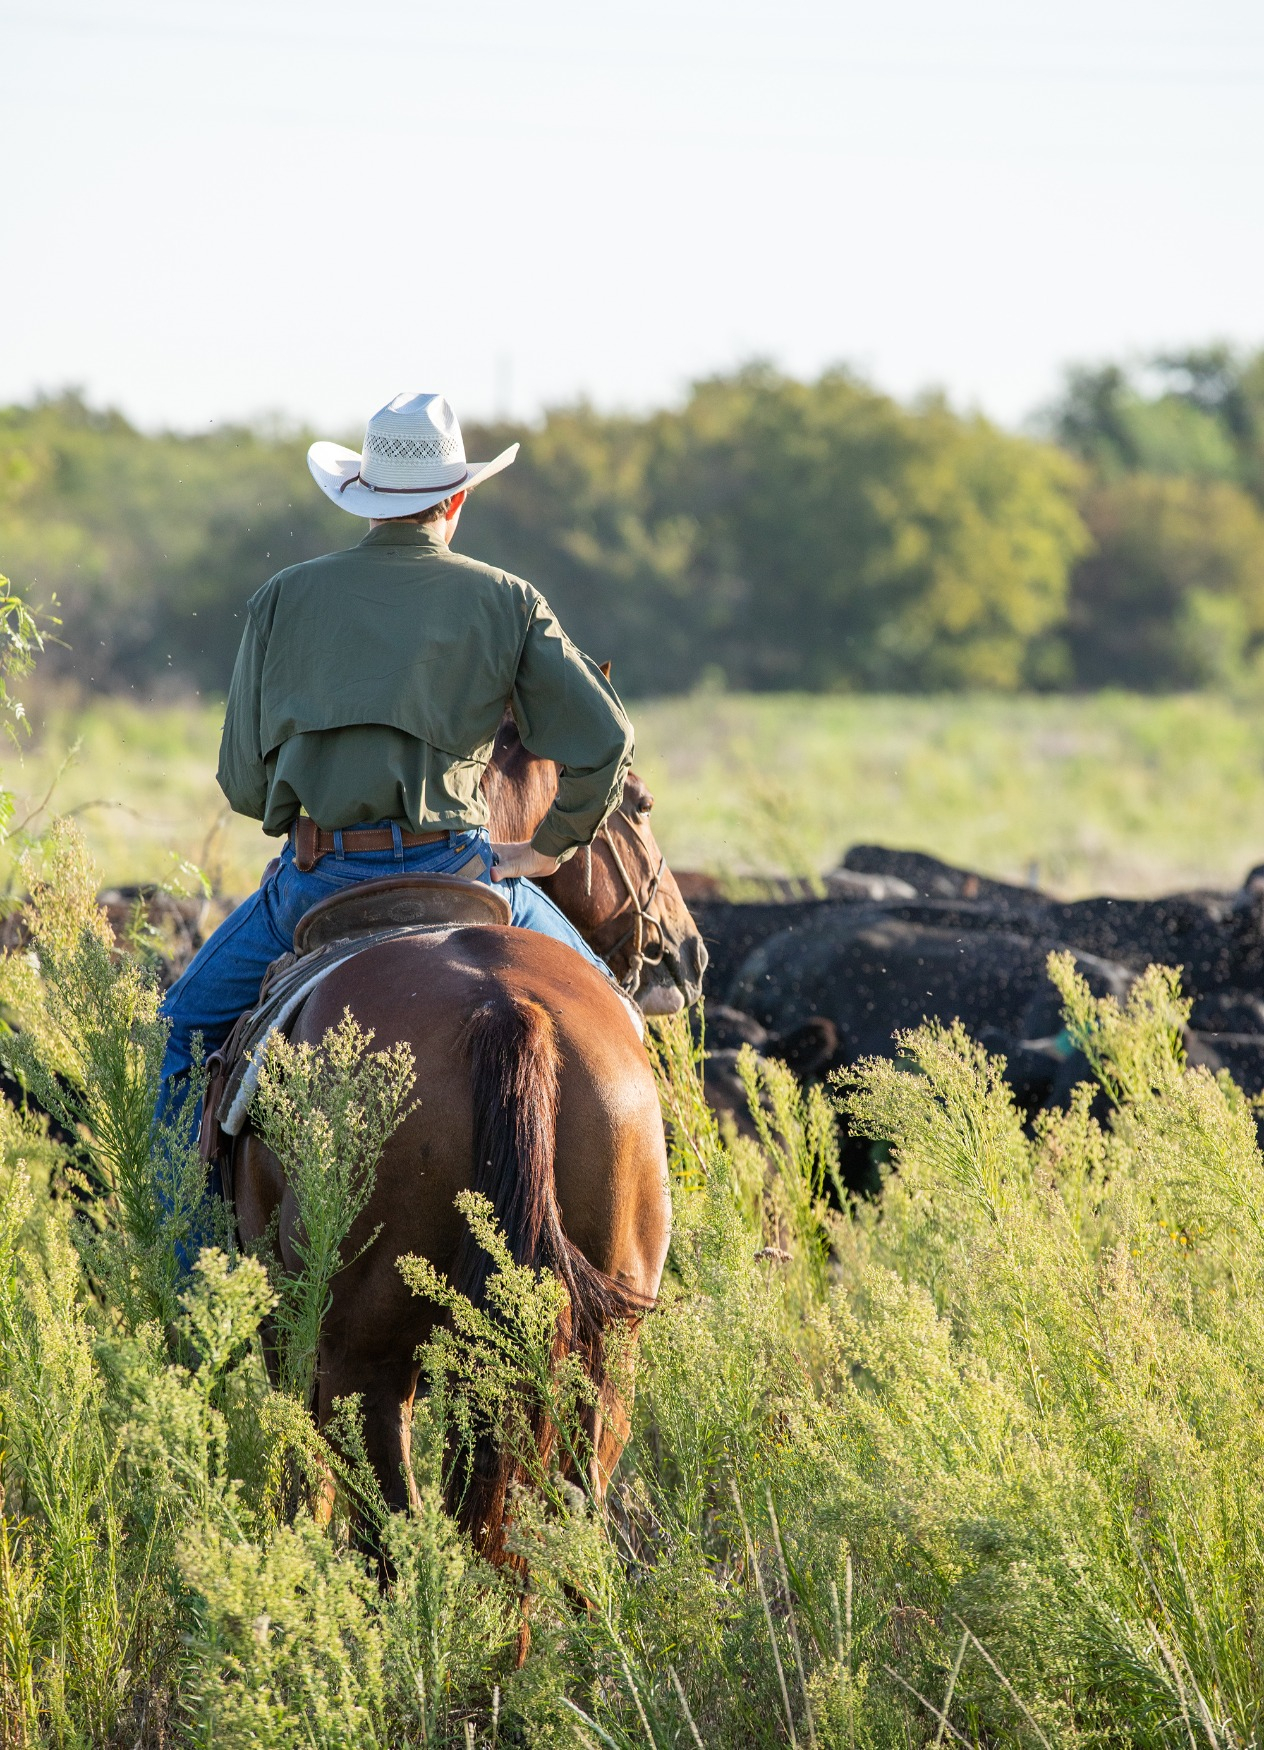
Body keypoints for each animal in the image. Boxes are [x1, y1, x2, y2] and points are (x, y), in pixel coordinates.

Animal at [231, 717, 703, 1568]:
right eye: (643, 806)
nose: (687, 952)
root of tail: (503, 1006)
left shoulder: (291, 1331)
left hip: (365, 1358)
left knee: (389, 1527)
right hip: (607, 1346)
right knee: (558, 1507)